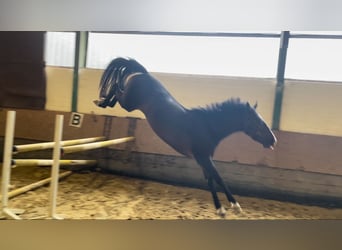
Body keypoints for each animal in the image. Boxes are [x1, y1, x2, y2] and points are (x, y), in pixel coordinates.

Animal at [95, 57, 276, 217]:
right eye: (258, 123)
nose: (273, 140)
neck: (207, 126)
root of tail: (144, 74)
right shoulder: (203, 157)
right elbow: (218, 178)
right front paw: (235, 206)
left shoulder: (204, 159)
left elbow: (210, 179)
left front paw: (220, 209)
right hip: (129, 103)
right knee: (117, 89)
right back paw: (101, 101)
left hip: (129, 104)